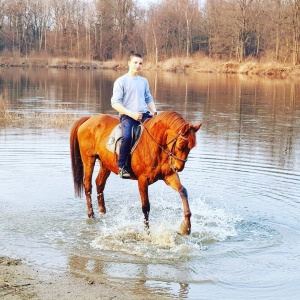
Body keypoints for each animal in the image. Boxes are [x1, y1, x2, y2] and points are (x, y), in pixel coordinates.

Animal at [69, 111, 202, 236]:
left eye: (191, 147)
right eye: (181, 146)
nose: (178, 168)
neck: (155, 145)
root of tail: (89, 119)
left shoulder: (169, 176)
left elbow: (183, 191)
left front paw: (186, 227)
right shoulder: (142, 180)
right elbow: (146, 207)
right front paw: (147, 233)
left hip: (105, 163)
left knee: (99, 183)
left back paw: (102, 212)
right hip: (89, 159)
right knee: (88, 185)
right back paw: (91, 214)